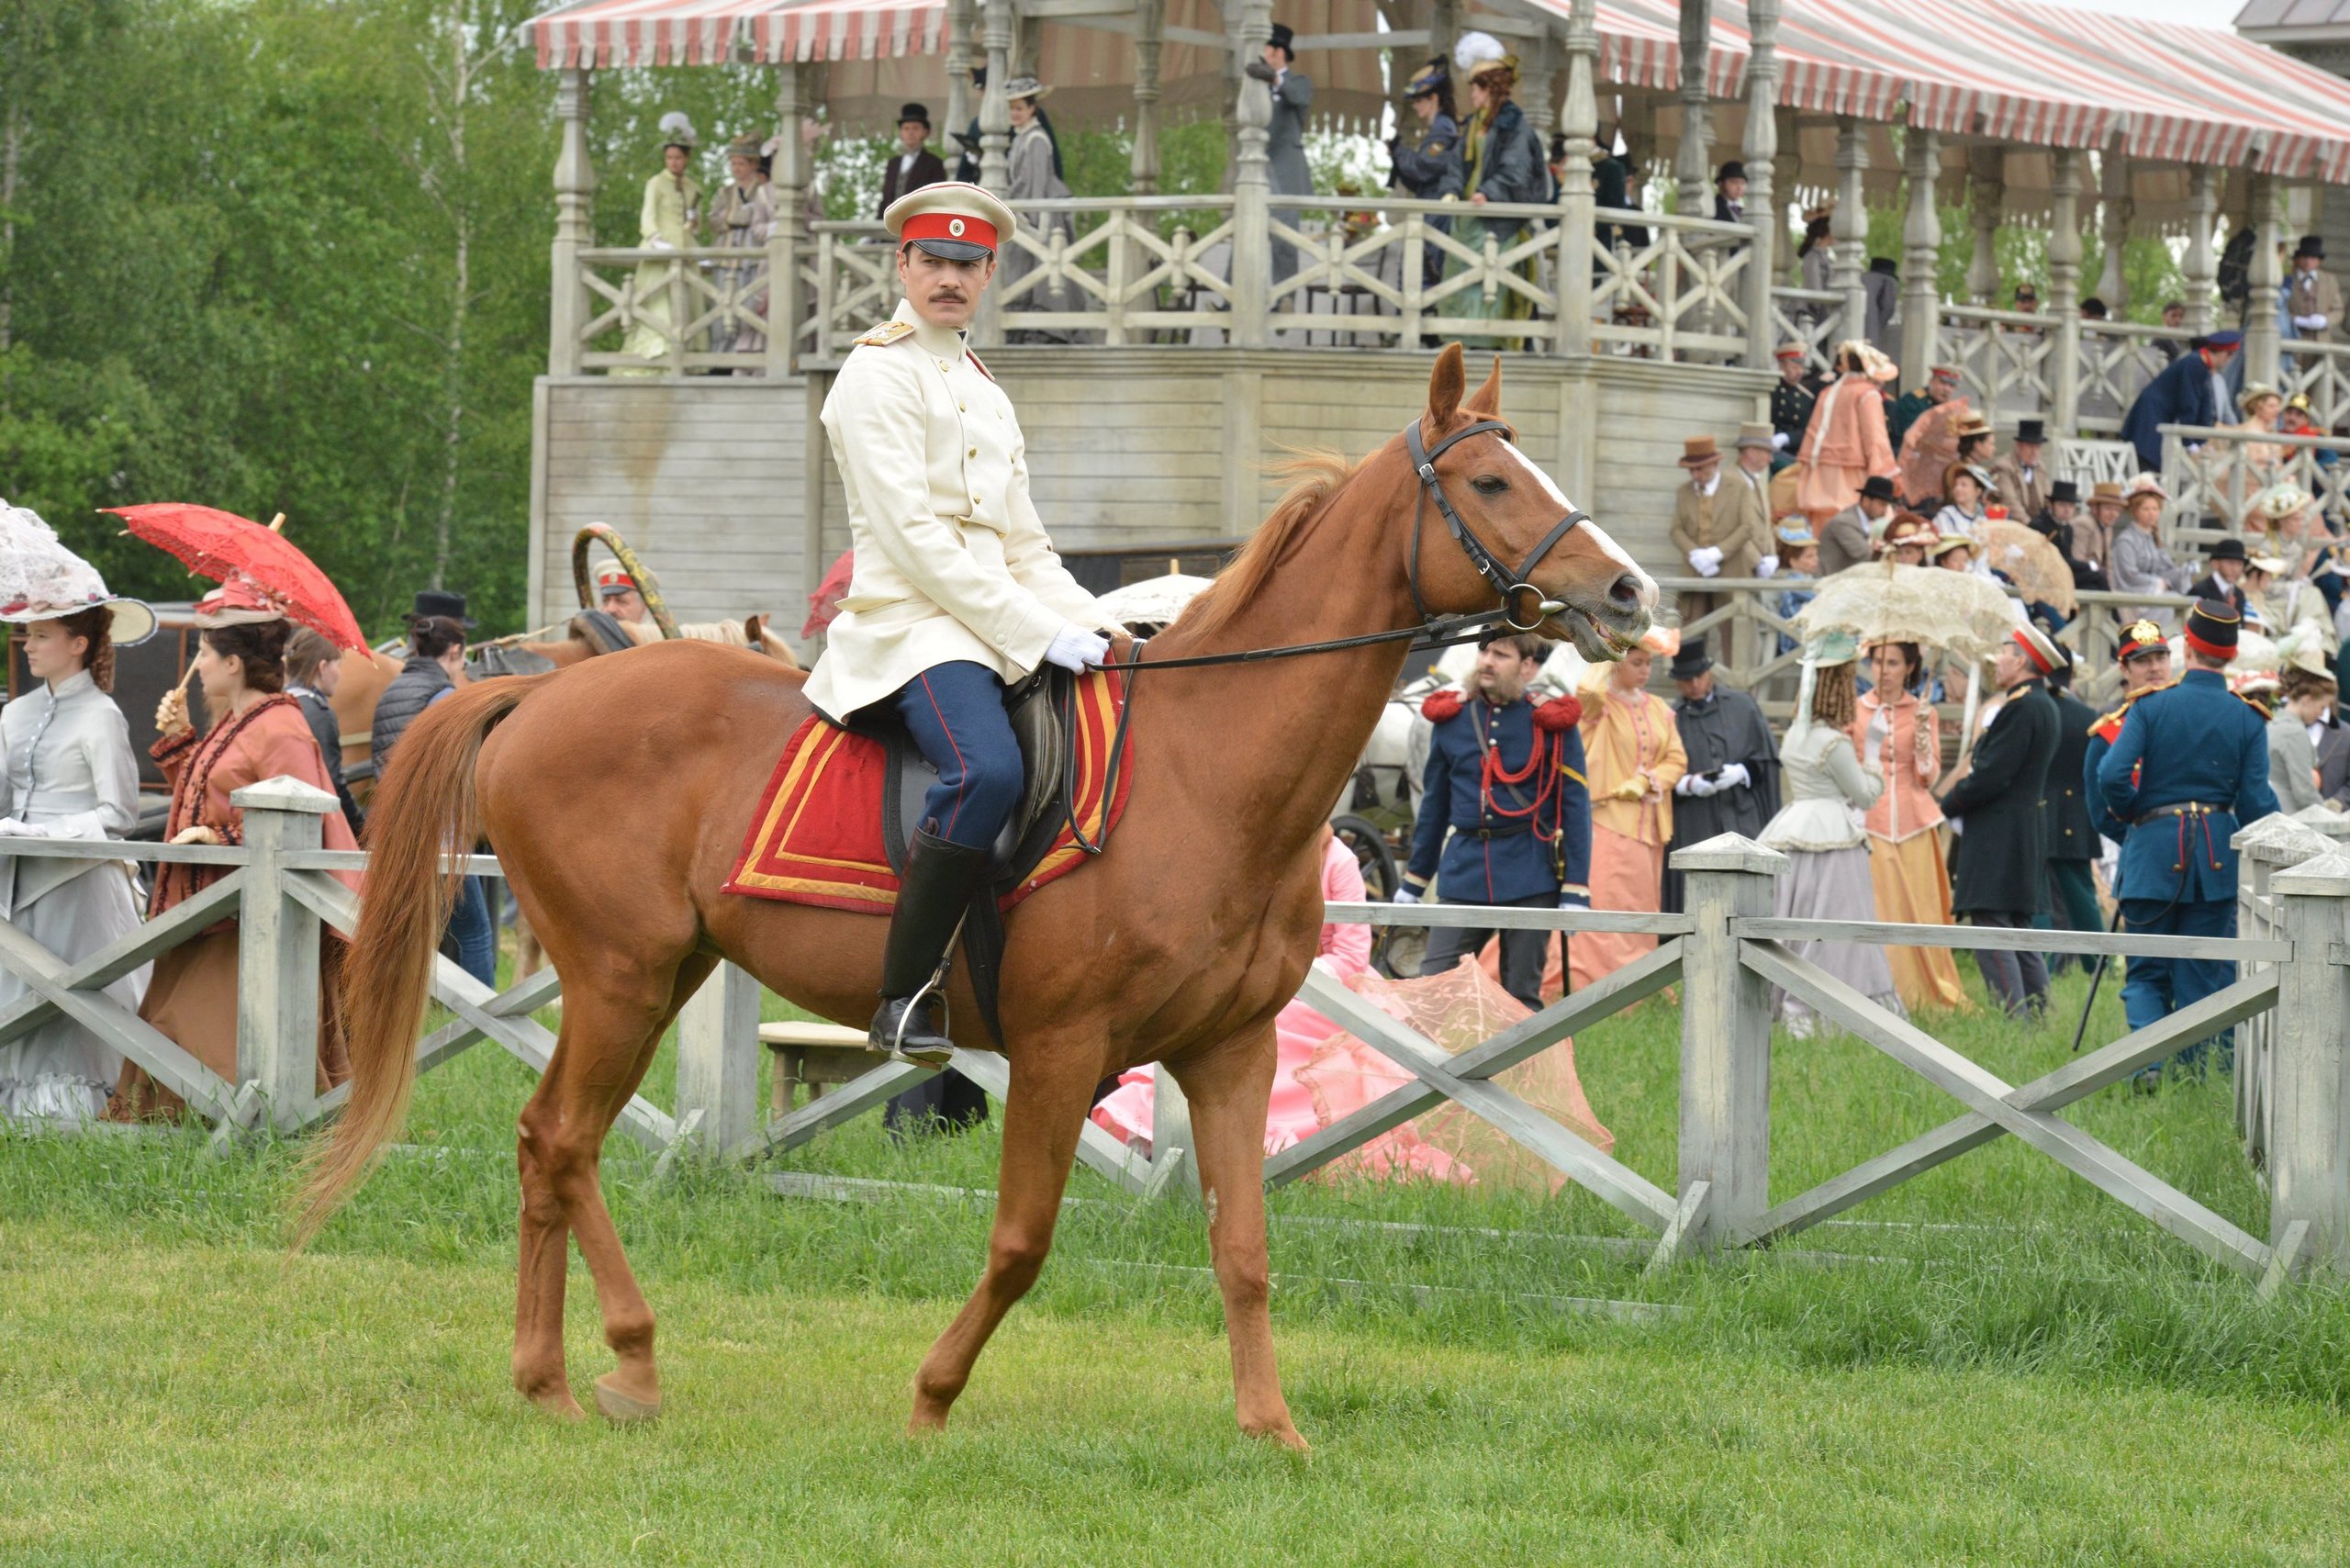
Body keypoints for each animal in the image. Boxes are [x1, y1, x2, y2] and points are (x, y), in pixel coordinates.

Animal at [298, 350, 1654, 1457]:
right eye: (1490, 482)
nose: (1631, 594)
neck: (1207, 767)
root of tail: (540, 692)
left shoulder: (1231, 1051)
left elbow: (1245, 1250)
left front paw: (1272, 1429)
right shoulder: (1059, 1052)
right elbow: (1020, 1243)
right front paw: (932, 1397)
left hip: (655, 973)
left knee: (552, 1142)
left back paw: (565, 1373)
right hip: (620, 977)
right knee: (561, 1140)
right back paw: (606, 1369)